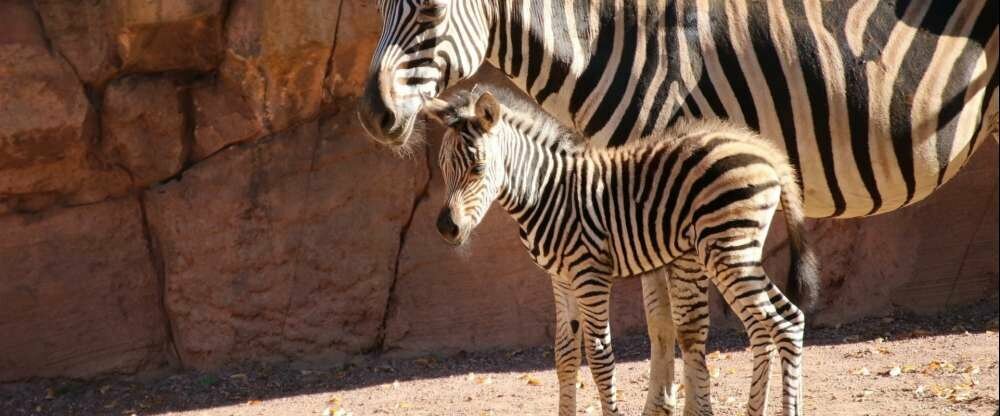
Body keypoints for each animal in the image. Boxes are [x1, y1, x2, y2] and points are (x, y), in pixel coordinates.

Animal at [426, 88, 816, 416]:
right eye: (443, 167)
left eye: (477, 168)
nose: (446, 228)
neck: (548, 190)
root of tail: (764, 150)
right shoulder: (560, 279)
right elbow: (565, 356)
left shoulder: (590, 276)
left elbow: (600, 359)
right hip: (736, 254)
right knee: (772, 323)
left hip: (729, 252)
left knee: (783, 321)